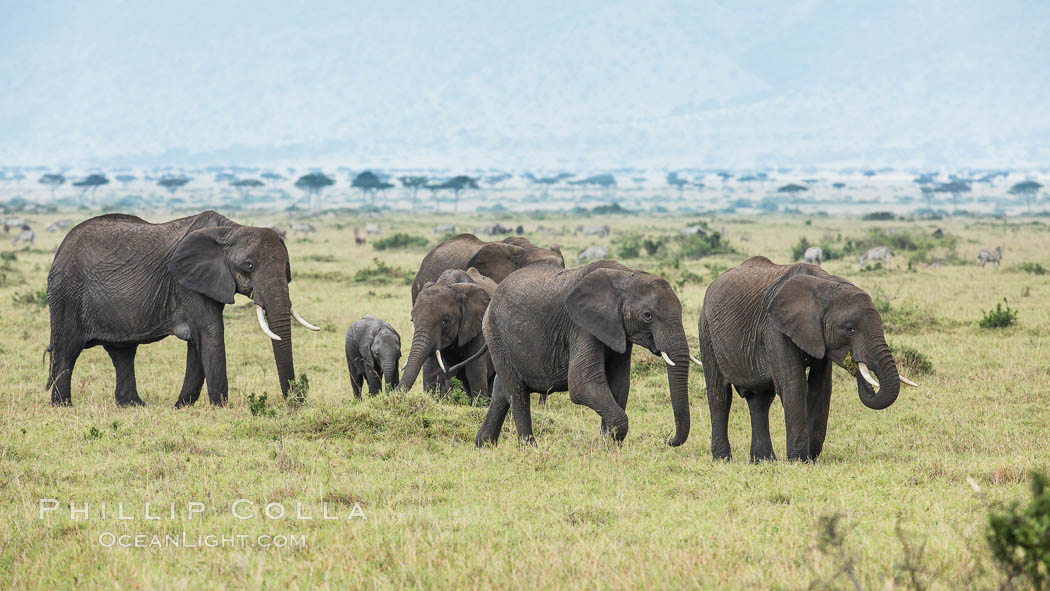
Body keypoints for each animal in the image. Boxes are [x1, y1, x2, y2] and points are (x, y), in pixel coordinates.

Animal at [48, 209, 319, 409]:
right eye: (249, 265)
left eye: (287, 269)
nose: (294, 401)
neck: (231, 229)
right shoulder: (186, 282)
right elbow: (211, 332)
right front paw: (221, 407)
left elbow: (199, 340)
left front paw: (181, 406)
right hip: (67, 293)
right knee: (67, 351)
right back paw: (63, 406)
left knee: (123, 353)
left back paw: (133, 405)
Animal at [476, 261, 697, 447]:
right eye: (647, 315)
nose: (669, 440)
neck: (625, 276)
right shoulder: (580, 326)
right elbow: (582, 384)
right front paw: (609, 443)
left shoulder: (618, 330)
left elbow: (619, 385)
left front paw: (608, 445)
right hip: (495, 333)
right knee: (517, 392)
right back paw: (529, 448)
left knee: (502, 389)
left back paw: (484, 444)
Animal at [701, 257, 915, 463]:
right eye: (850, 328)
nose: (855, 362)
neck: (824, 284)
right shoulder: (774, 328)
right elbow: (793, 386)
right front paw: (798, 460)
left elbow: (820, 388)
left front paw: (810, 458)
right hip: (706, 330)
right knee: (720, 396)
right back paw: (723, 459)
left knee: (760, 399)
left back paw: (763, 461)